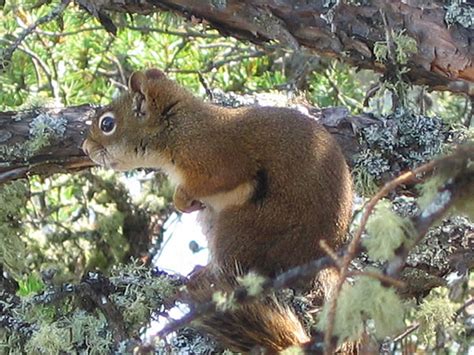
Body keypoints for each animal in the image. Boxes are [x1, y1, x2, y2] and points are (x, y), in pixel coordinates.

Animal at [83, 68, 354, 354]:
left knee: (233, 269)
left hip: (244, 228)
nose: (85, 149)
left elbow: (213, 181)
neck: (178, 128)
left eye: (107, 124)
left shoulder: (215, 159)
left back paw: (201, 277)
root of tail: (318, 259)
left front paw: (182, 200)